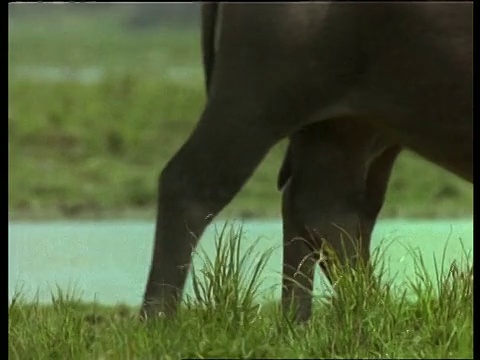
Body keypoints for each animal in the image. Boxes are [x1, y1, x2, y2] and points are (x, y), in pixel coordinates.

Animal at [142, 2, 472, 320]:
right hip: (256, 105)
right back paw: (158, 319)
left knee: (325, 209)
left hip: (344, 126)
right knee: (191, 184)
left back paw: (338, 316)